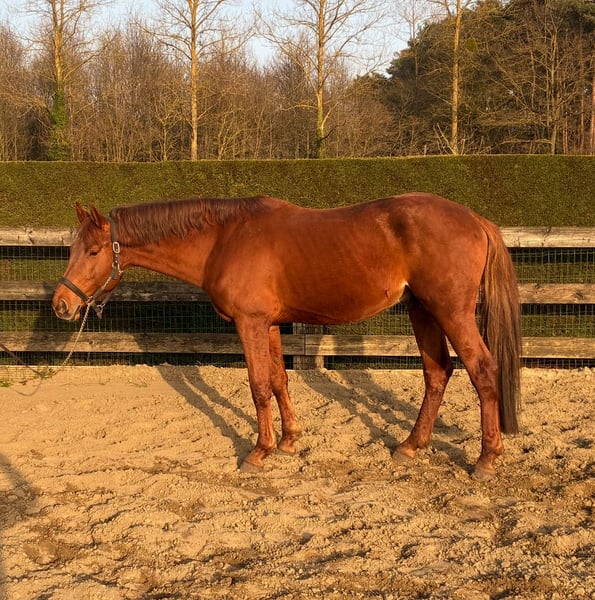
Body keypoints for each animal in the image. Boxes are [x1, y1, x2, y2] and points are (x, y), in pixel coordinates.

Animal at [52, 193, 521, 480]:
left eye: (92, 252)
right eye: (72, 250)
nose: (61, 304)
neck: (224, 238)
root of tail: (474, 219)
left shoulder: (250, 323)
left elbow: (259, 386)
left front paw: (259, 452)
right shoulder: (272, 324)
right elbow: (279, 381)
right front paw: (290, 441)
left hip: (450, 312)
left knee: (482, 370)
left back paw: (486, 459)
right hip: (422, 310)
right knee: (437, 373)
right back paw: (411, 446)